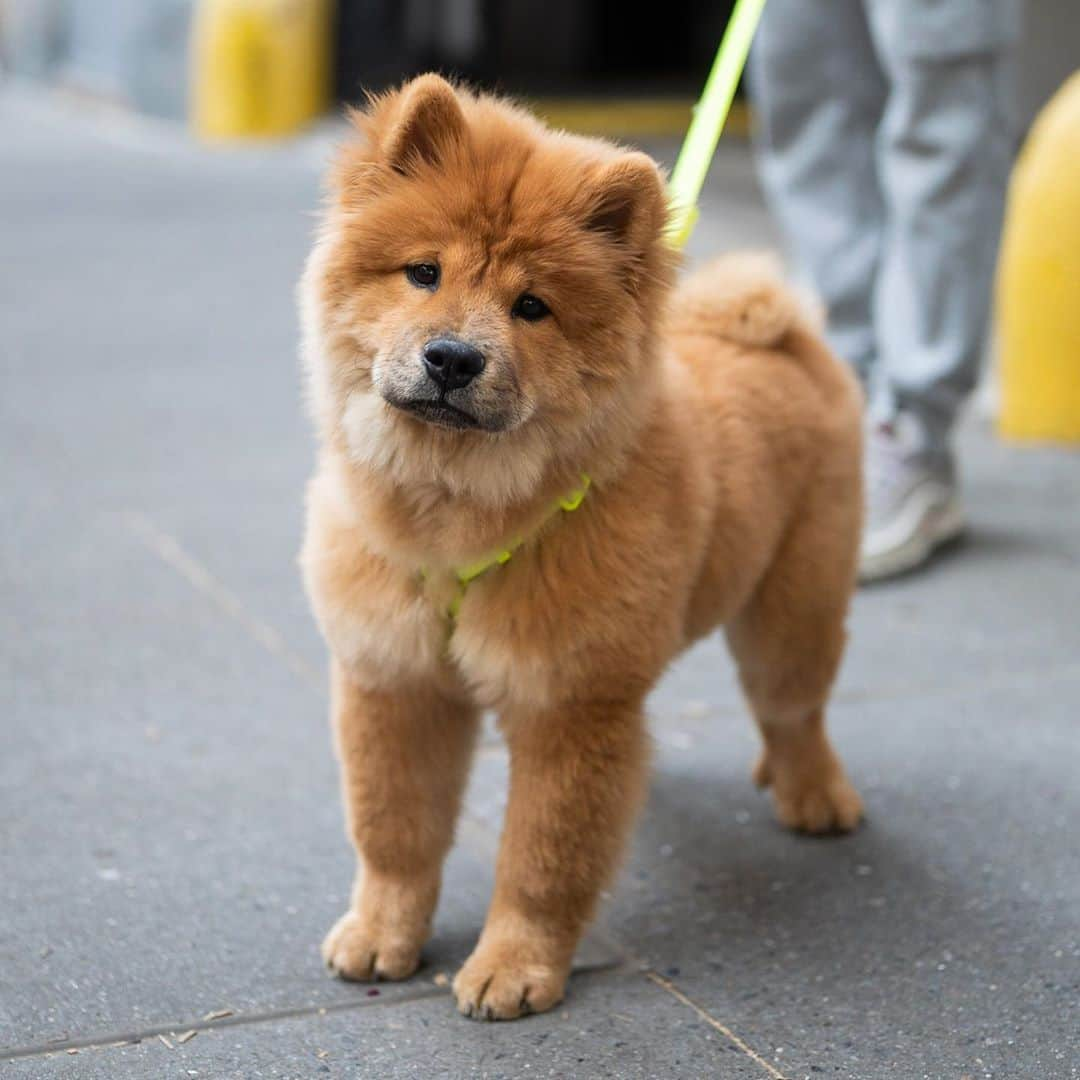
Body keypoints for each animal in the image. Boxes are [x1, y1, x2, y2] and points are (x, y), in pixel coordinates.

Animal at [300, 76, 864, 1019]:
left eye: (532, 307)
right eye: (424, 272)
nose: (453, 358)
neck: (458, 514)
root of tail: (781, 334)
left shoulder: (567, 706)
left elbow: (541, 858)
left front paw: (513, 969)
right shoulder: (395, 680)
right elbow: (394, 831)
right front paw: (381, 935)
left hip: (792, 609)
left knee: (795, 710)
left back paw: (815, 796)